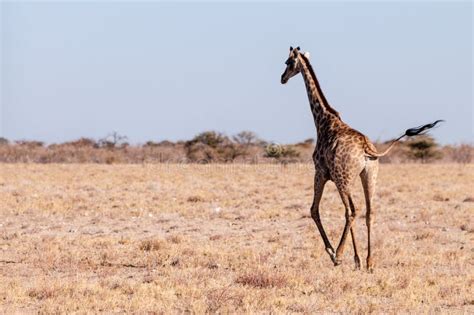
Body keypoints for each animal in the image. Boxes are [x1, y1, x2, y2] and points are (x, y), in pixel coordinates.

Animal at [280, 45, 442, 270]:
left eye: (288, 62)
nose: (282, 78)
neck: (322, 120)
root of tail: (368, 149)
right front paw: (356, 259)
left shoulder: (320, 172)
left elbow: (314, 210)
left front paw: (333, 252)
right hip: (369, 175)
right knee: (368, 212)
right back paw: (369, 261)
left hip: (343, 178)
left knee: (350, 211)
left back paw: (339, 255)